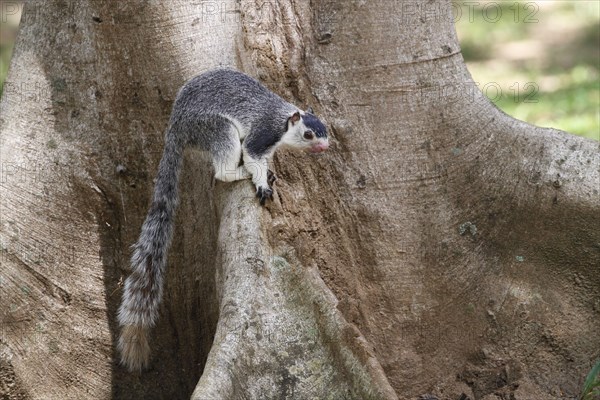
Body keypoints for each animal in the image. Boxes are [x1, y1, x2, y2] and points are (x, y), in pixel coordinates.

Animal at [116, 69, 328, 372]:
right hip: (215, 128)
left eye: (326, 131)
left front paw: (268, 172)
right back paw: (236, 173)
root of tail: (175, 127)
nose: (323, 147)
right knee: (222, 169)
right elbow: (252, 155)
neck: (284, 117)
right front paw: (261, 182)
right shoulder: (263, 133)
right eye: (308, 134)